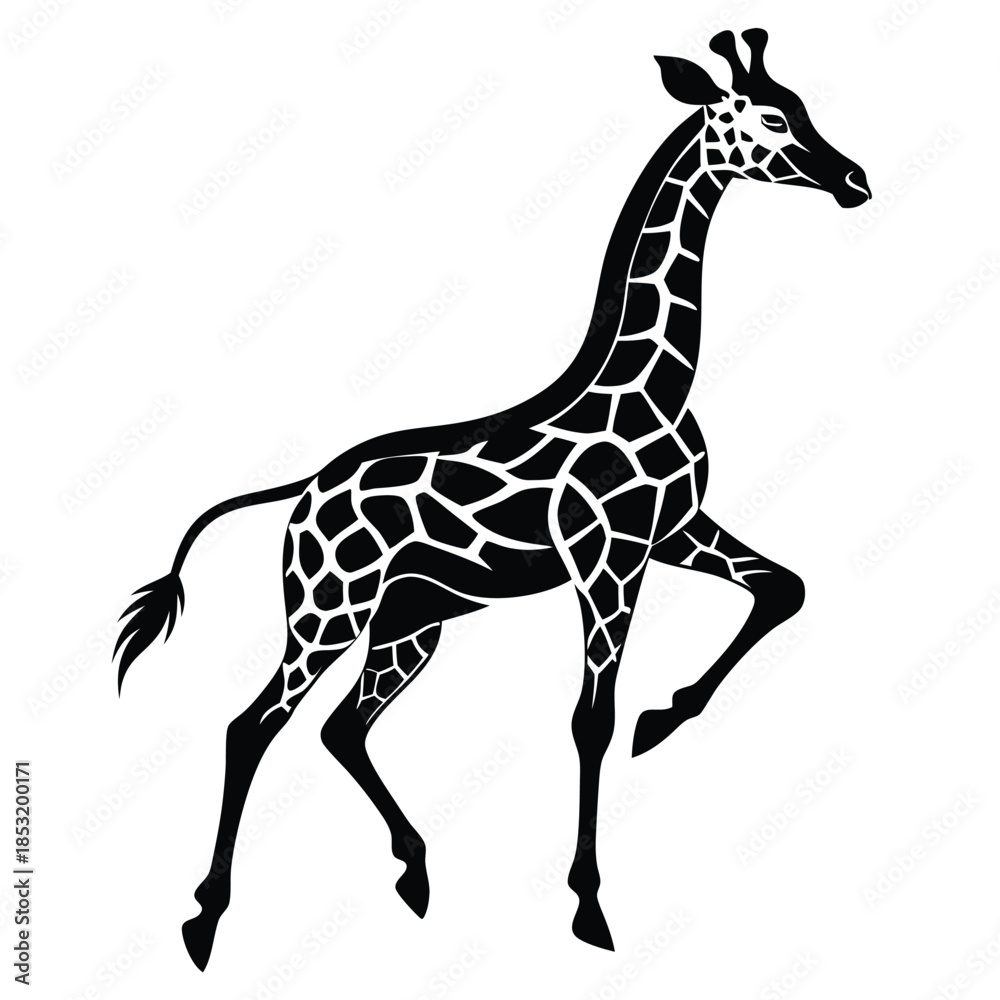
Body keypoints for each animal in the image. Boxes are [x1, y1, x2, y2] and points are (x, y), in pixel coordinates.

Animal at [115, 29, 870, 967]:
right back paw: (204, 920)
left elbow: (783, 589)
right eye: (770, 118)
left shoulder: (674, 531)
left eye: (803, 106)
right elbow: (590, 719)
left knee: (341, 728)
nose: (855, 180)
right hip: (327, 609)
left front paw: (663, 721)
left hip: (411, 622)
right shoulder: (607, 561)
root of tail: (305, 490)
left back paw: (415, 872)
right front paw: (588, 906)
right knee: (252, 725)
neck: (651, 386)